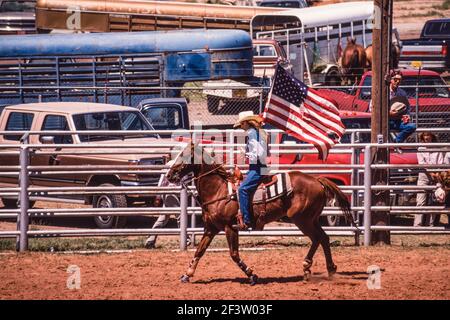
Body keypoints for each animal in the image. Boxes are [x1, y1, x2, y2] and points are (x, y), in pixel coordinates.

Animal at [166, 142, 356, 284]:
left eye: (183, 155)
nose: (169, 175)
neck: (219, 190)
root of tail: (317, 179)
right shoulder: (211, 228)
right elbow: (199, 251)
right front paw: (187, 274)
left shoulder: (230, 227)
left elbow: (234, 254)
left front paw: (252, 275)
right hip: (311, 219)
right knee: (323, 238)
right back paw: (326, 269)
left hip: (303, 220)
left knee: (317, 238)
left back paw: (309, 266)